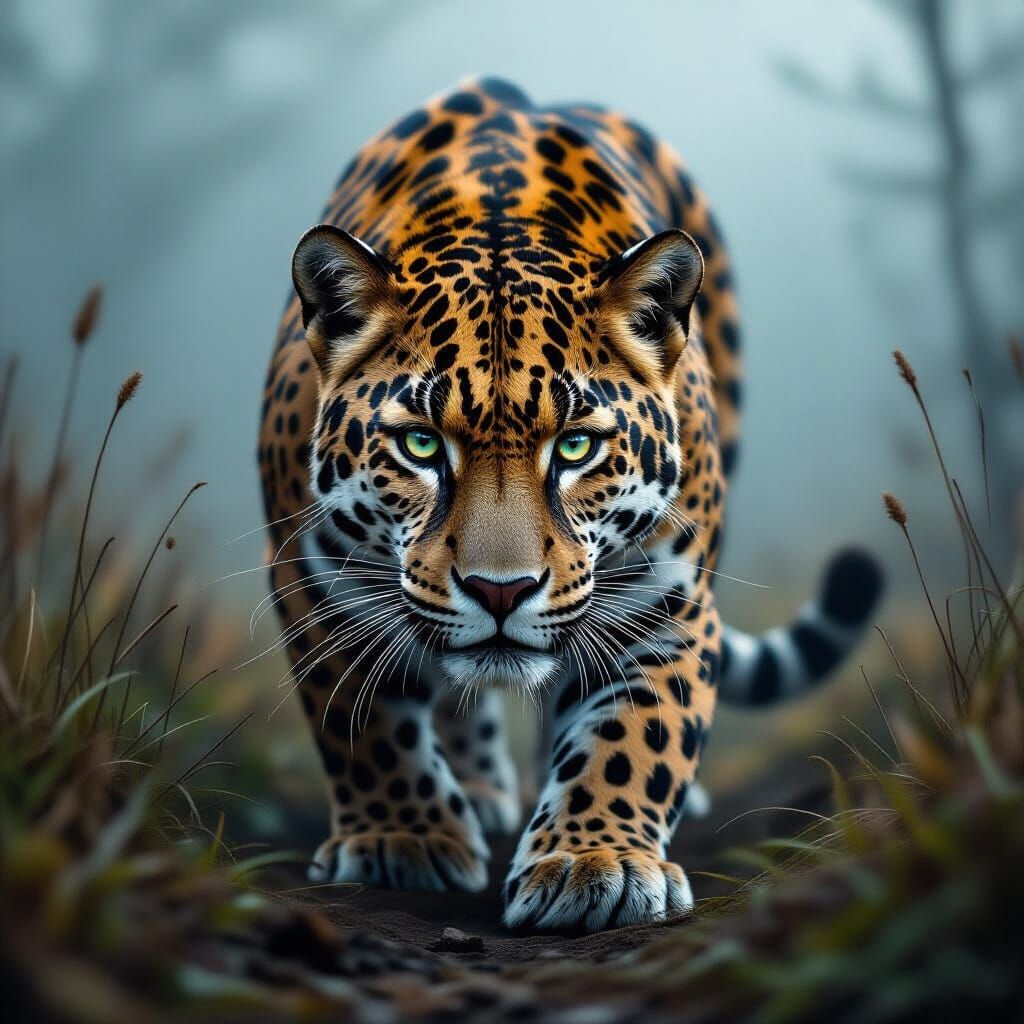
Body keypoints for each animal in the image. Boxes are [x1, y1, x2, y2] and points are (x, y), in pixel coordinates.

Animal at [259, 77, 883, 932]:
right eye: (420, 444)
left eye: (577, 447)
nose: (501, 592)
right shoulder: (314, 578)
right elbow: (364, 720)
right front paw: (403, 840)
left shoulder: (664, 604)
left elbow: (635, 736)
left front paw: (597, 863)